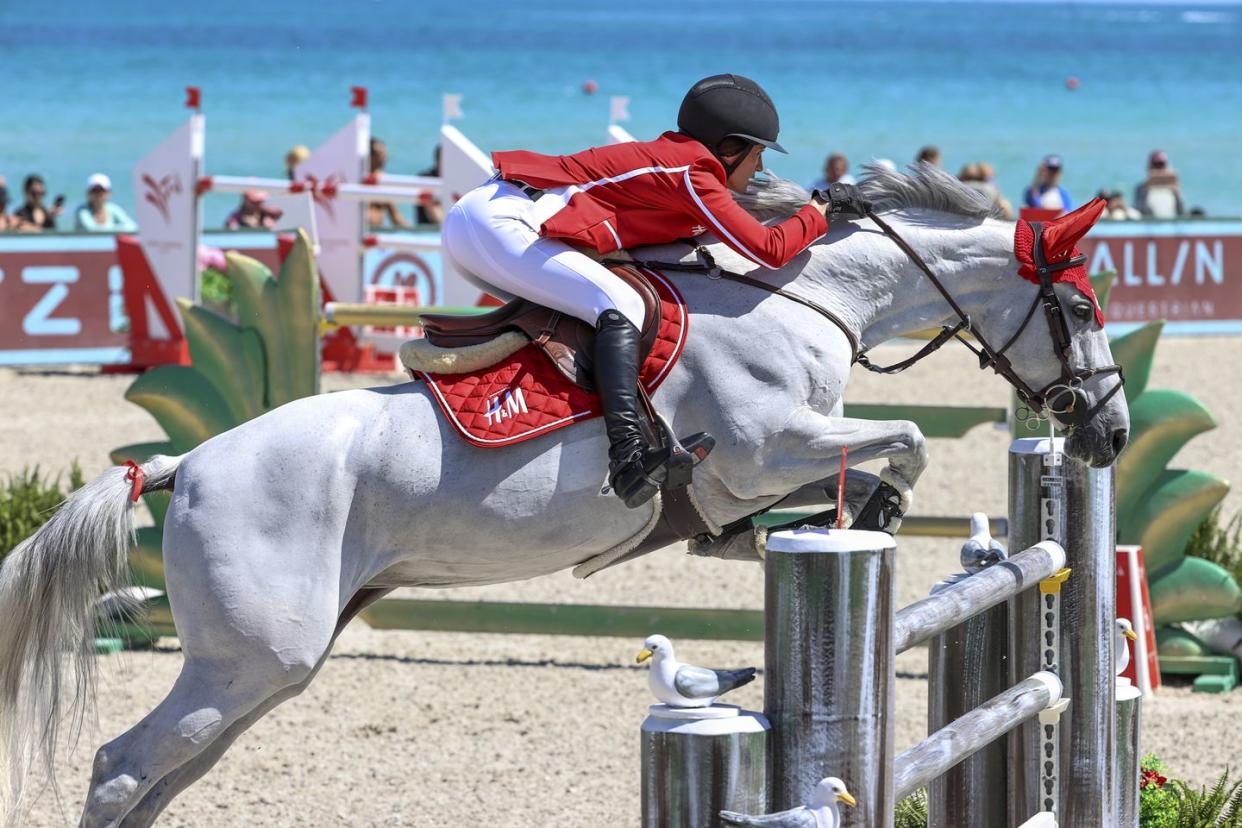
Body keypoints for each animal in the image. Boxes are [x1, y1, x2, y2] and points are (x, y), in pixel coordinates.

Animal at [0, 165, 1127, 824]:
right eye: (1077, 308)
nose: (1106, 432)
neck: (802, 298)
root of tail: (187, 468)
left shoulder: (764, 464)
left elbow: (851, 470)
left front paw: (798, 529)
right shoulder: (766, 448)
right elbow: (905, 446)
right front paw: (871, 512)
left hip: (266, 669)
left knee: (159, 777)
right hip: (250, 660)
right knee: (121, 766)